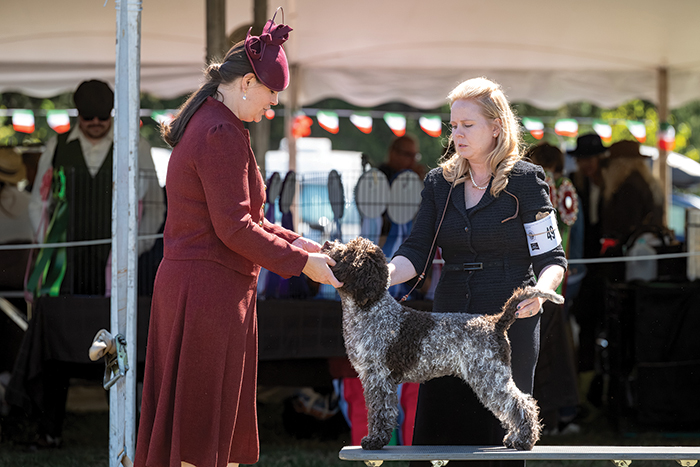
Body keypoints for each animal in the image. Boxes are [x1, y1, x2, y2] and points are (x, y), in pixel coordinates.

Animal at [322, 237, 564, 451]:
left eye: (347, 252)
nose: (326, 243)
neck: (371, 308)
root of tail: (495, 322)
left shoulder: (378, 377)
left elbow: (379, 412)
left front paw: (374, 440)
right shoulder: (374, 378)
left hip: (489, 377)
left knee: (520, 404)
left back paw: (524, 440)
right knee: (513, 405)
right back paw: (514, 438)